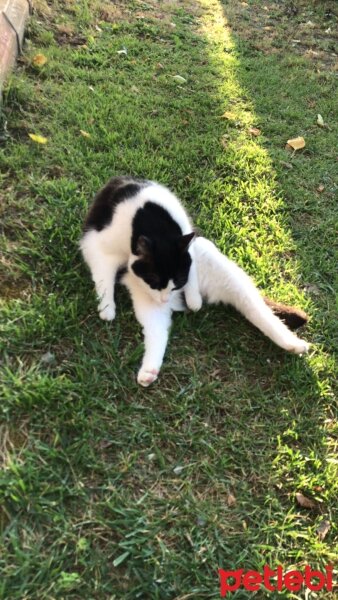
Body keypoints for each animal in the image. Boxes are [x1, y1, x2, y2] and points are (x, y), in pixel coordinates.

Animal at [80, 176, 310, 386]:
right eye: (153, 280)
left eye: (178, 281)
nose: (166, 298)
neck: (151, 220)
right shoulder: (97, 246)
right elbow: (103, 280)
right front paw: (107, 308)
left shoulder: (187, 239)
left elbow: (190, 270)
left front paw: (194, 300)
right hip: (150, 304)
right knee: (157, 334)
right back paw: (149, 371)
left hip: (213, 261)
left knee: (261, 313)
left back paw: (293, 344)